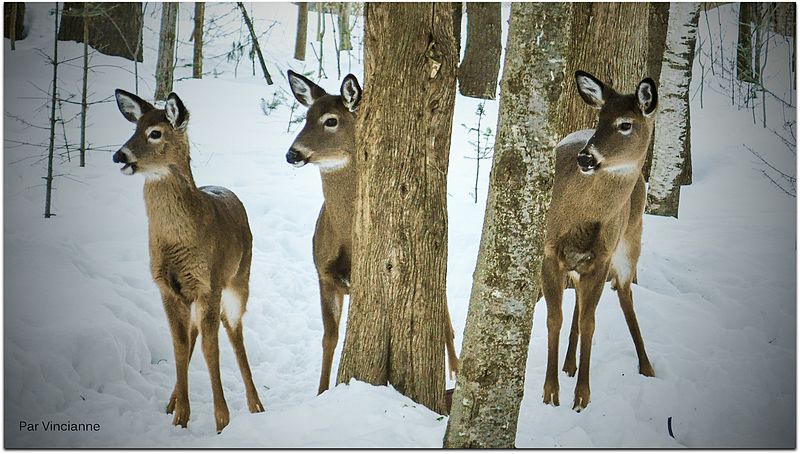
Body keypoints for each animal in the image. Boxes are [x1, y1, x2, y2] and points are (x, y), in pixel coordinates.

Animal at [112, 88, 264, 432]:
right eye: (134, 127)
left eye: (155, 133)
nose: (120, 156)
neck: (178, 242)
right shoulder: (166, 287)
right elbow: (180, 346)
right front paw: (181, 415)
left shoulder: (209, 283)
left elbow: (211, 348)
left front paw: (222, 420)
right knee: (195, 333)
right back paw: (172, 402)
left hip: (239, 279)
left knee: (235, 332)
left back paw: (256, 404)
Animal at [284, 70, 460, 394]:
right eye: (306, 116)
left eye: (331, 120)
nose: (292, 154)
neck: (344, 235)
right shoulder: (324, 275)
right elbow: (329, 339)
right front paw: (321, 392)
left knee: (442, 310)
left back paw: (455, 368)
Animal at [540, 70, 660, 412]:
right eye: (600, 117)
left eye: (625, 124)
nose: (586, 158)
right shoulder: (549, 252)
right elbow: (555, 318)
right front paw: (550, 392)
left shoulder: (602, 258)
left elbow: (590, 323)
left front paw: (582, 395)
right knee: (580, 301)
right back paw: (568, 364)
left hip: (631, 238)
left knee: (624, 292)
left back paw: (646, 365)